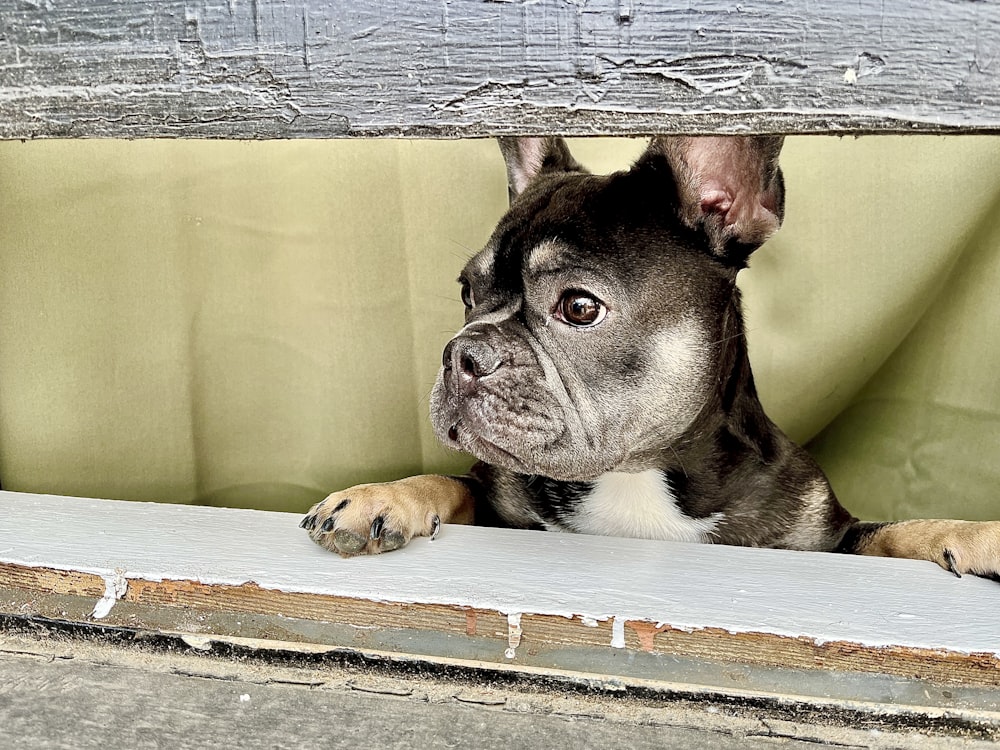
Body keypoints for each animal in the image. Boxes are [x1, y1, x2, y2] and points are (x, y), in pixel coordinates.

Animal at [298, 135, 1000, 580]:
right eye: (468, 295)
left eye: (579, 307)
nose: (461, 353)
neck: (637, 475)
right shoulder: (497, 503)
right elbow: (450, 480)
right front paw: (378, 497)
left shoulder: (823, 538)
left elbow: (889, 530)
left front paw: (973, 535)